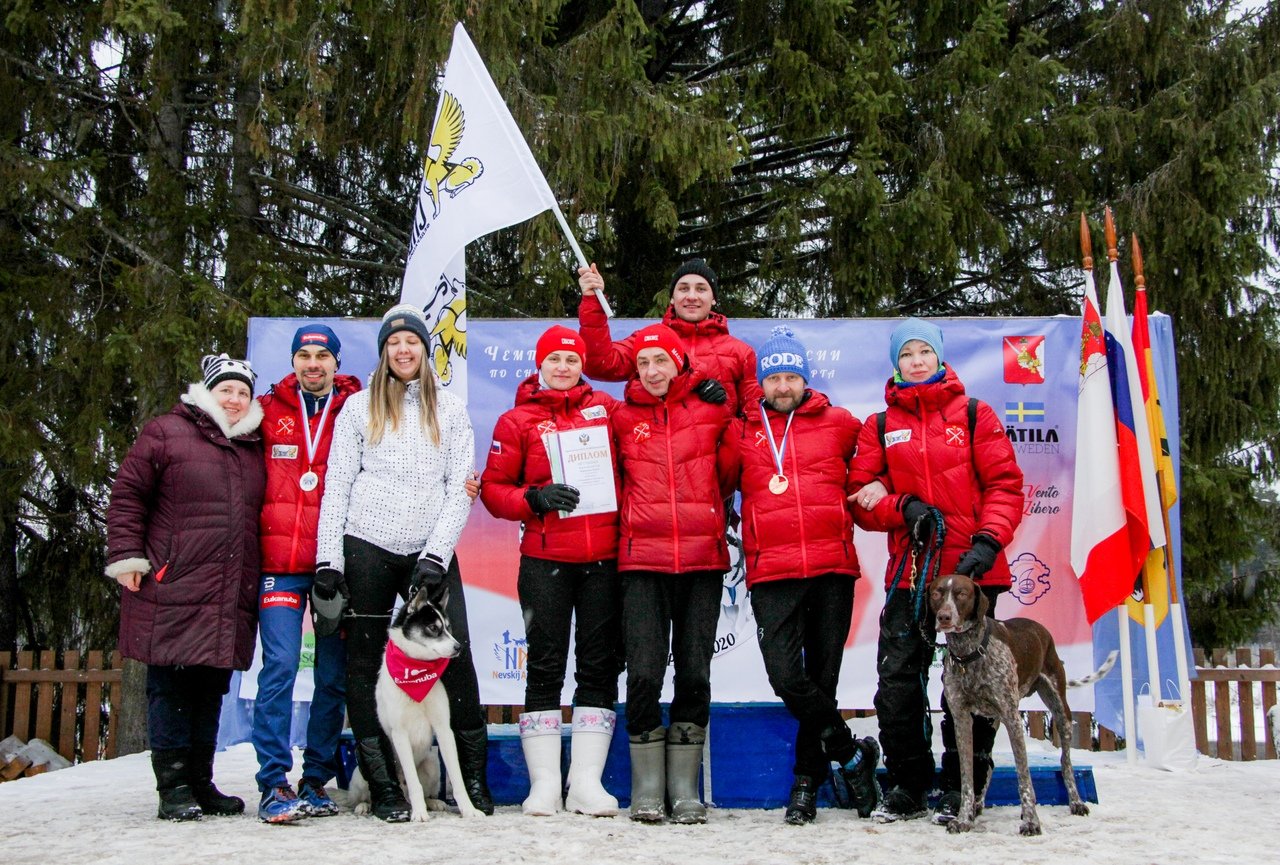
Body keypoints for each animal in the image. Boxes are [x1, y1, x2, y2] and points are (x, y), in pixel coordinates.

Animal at [370, 582, 482, 821]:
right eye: (433, 628)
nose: (458, 647)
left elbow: (457, 778)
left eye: (448, 627)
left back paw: (435, 803)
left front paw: (468, 809)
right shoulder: (400, 734)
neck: (416, 670)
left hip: (431, 763)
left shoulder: (444, 729)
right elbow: (413, 784)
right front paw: (419, 813)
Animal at [929, 573, 1116, 836]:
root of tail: (1041, 629)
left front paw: (1030, 821)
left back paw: (1076, 802)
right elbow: (966, 777)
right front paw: (964, 818)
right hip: (992, 720)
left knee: (1065, 762)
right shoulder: (962, 719)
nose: (944, 617)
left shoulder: (1013, 719)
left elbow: (1024, 777)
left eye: (962, 594)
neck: (969, 652)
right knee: (988, 764)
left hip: (1060, 712)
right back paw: (978, 804)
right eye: (936, 593)